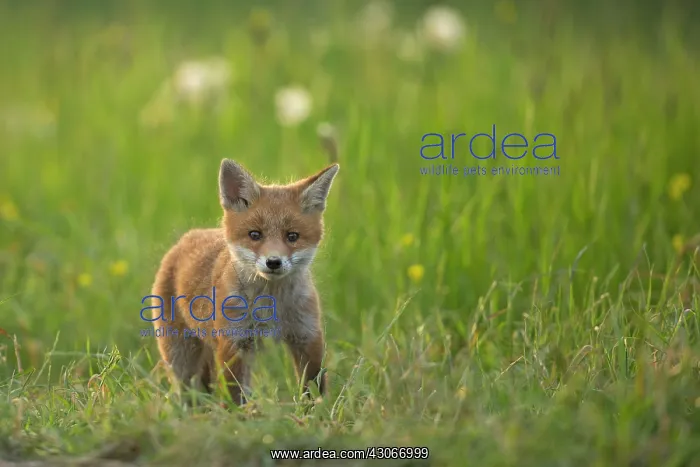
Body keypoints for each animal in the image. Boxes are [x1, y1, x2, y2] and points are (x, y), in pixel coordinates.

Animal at [150, 158, 339, 406]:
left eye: (292, 236)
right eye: (255, 235)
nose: (273, 262)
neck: (270, 306)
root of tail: (186, 238)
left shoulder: (307, 335)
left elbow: (313, 387)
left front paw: (317, 412)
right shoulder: (234, 342)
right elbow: (235, 395)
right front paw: (238, 416)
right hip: (181, 355)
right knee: (186, 391)